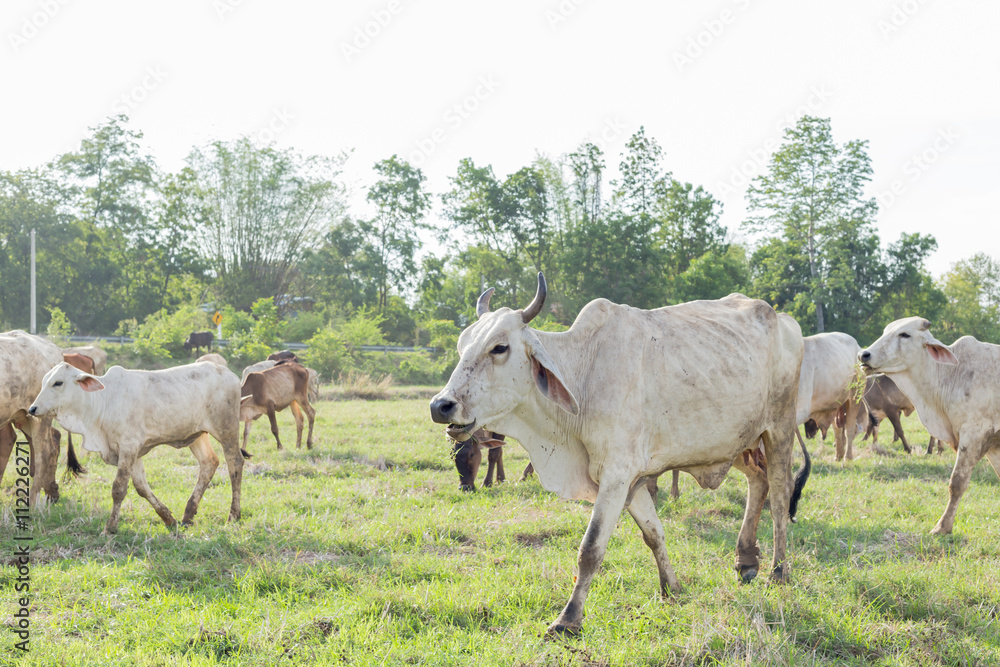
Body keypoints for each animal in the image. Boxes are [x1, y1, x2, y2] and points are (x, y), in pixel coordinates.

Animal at [27, 362, 246, 536]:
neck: (102, 402)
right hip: (197, 435)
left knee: (235, 463)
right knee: (209, 463)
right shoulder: (132, 453)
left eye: (58, 383)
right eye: (44, 381)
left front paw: (110, 528)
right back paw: (188, 515)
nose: (32, 409)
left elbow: (118, 489)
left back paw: (233, 515)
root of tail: (227, 372)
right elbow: (141, 487)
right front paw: (168, 518)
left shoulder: (129, 446)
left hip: (226, 429)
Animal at [426, 276, 808, 636]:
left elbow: (590, 549)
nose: (441, 405)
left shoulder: (616, 474)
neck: (586, 376)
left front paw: (568, 620)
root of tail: (784, 319)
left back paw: (778, 571)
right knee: (758, 481)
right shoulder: (631, 478)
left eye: (499, 347)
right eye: (461, 346)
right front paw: (672, 589)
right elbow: (654, 533)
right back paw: (746, 560)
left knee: (779, 494)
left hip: (778, 429)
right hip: (737, 441)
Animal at [796, 332, 868, 462]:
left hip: (855, 397)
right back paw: (838, 454)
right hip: (835, 404)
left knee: (849, 429)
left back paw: (847, 456)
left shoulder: (800, 411)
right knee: (837, 429)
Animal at [860, 320, 1000, 536]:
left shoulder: (974, 434)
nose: (864, 354)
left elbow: (957, 483)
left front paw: (942, 527)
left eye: (905, 334)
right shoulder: (992, 445)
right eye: (885, 331)